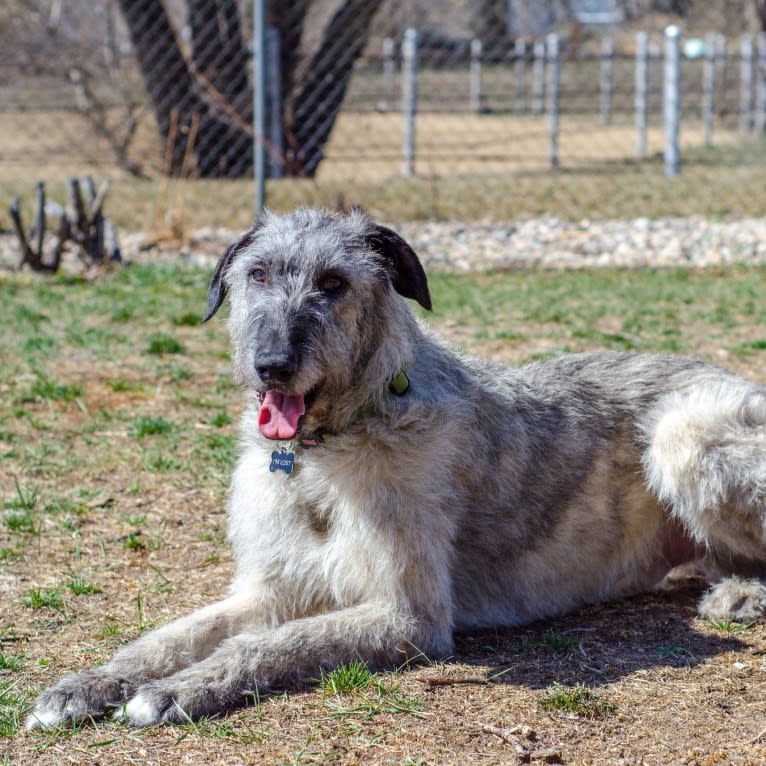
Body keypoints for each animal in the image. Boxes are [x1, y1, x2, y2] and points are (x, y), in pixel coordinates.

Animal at [27, 206, 766, 732]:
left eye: (333, 283)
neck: (325, 450)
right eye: (256, 275)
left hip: (682, 435)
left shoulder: (406, 617)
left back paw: (743, 594)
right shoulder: (270, 589)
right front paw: (84, 686)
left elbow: (264, 646)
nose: (271, 365)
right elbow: (163, 638)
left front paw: (176, 691)